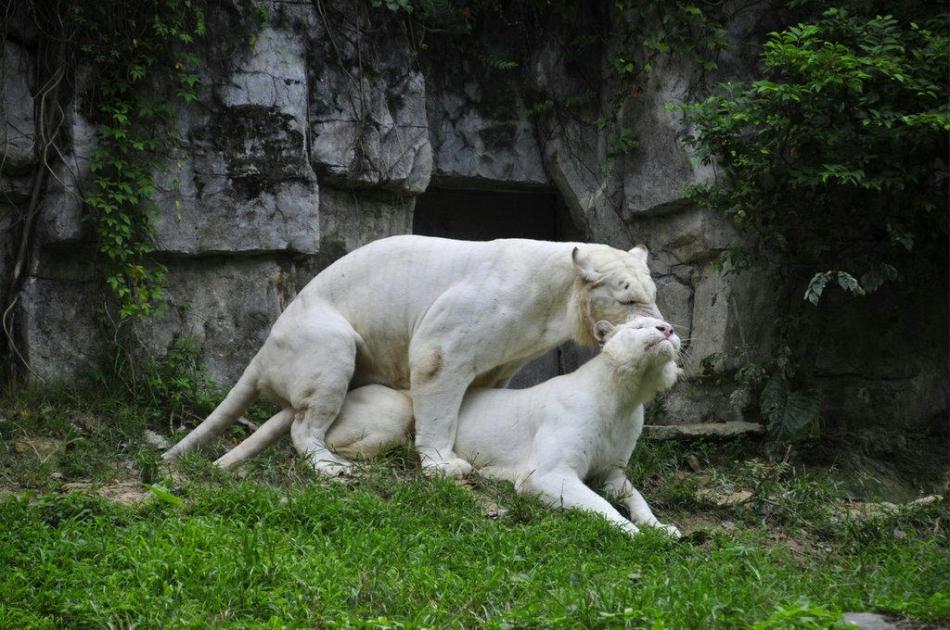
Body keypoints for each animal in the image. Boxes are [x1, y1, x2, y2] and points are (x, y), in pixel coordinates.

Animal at [221, 318, 684, 536]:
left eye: (664, 323)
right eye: (641, 325)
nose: (667, 329)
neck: (627, 396)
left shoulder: (614, 472)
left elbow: (637, 499)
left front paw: (661, 528)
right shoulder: (549, 474)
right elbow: (600, 506)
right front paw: (632, 534)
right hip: (395, 412)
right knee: (324, 441)